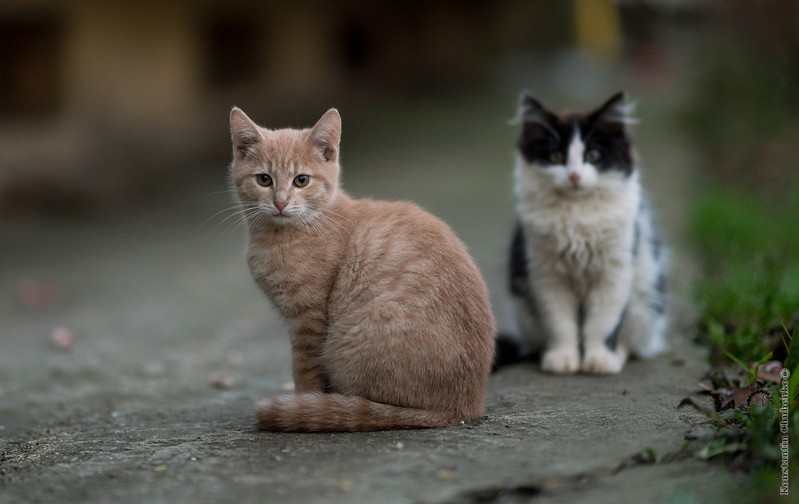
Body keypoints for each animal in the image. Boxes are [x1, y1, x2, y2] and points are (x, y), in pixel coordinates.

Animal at [228, 108, 496, 432]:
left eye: (301, 180)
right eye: (264, 179)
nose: (280, 202)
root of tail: (463, 407)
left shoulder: (309, 321)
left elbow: (305, 372)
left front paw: (302, 402)